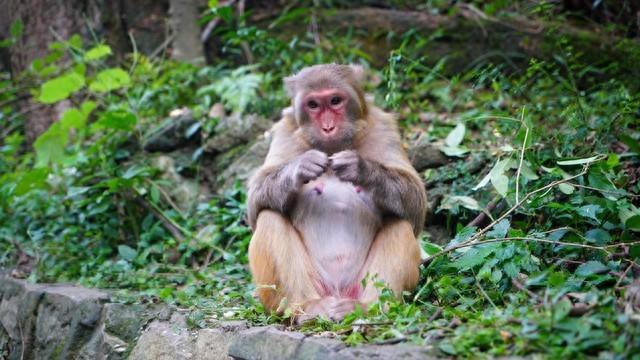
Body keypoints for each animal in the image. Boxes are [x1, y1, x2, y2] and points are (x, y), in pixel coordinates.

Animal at [248, 63, 428, 322]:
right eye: (313, 104)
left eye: (335, 101)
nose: (328, 126)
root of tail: (338, 291)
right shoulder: (285, 132)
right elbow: (254, 204)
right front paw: (301, 166)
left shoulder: (384, 127)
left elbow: (415, 205)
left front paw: (360, 167)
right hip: (294, 291)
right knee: (269, 217)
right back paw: (309, 307)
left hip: (358, 284)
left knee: (400, 223)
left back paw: (368, 307)